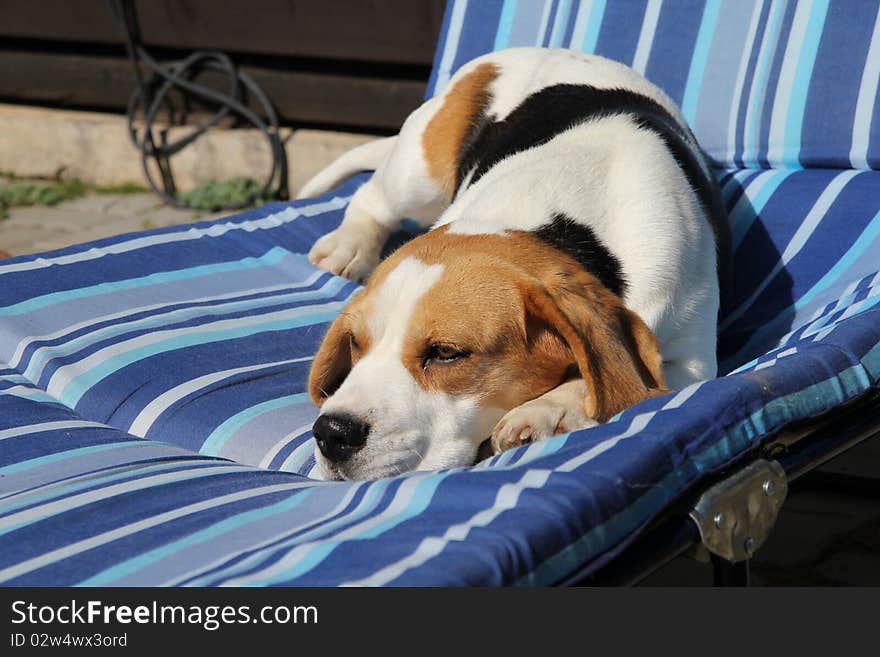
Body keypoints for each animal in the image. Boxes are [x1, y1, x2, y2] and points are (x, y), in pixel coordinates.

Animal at [300, 44, 724, 476]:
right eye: (355, 342)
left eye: (446, 353)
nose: (332, 433)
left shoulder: (692, 363)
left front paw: (548, 409)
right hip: (418, 175)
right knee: (371, 198)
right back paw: (348, 245)